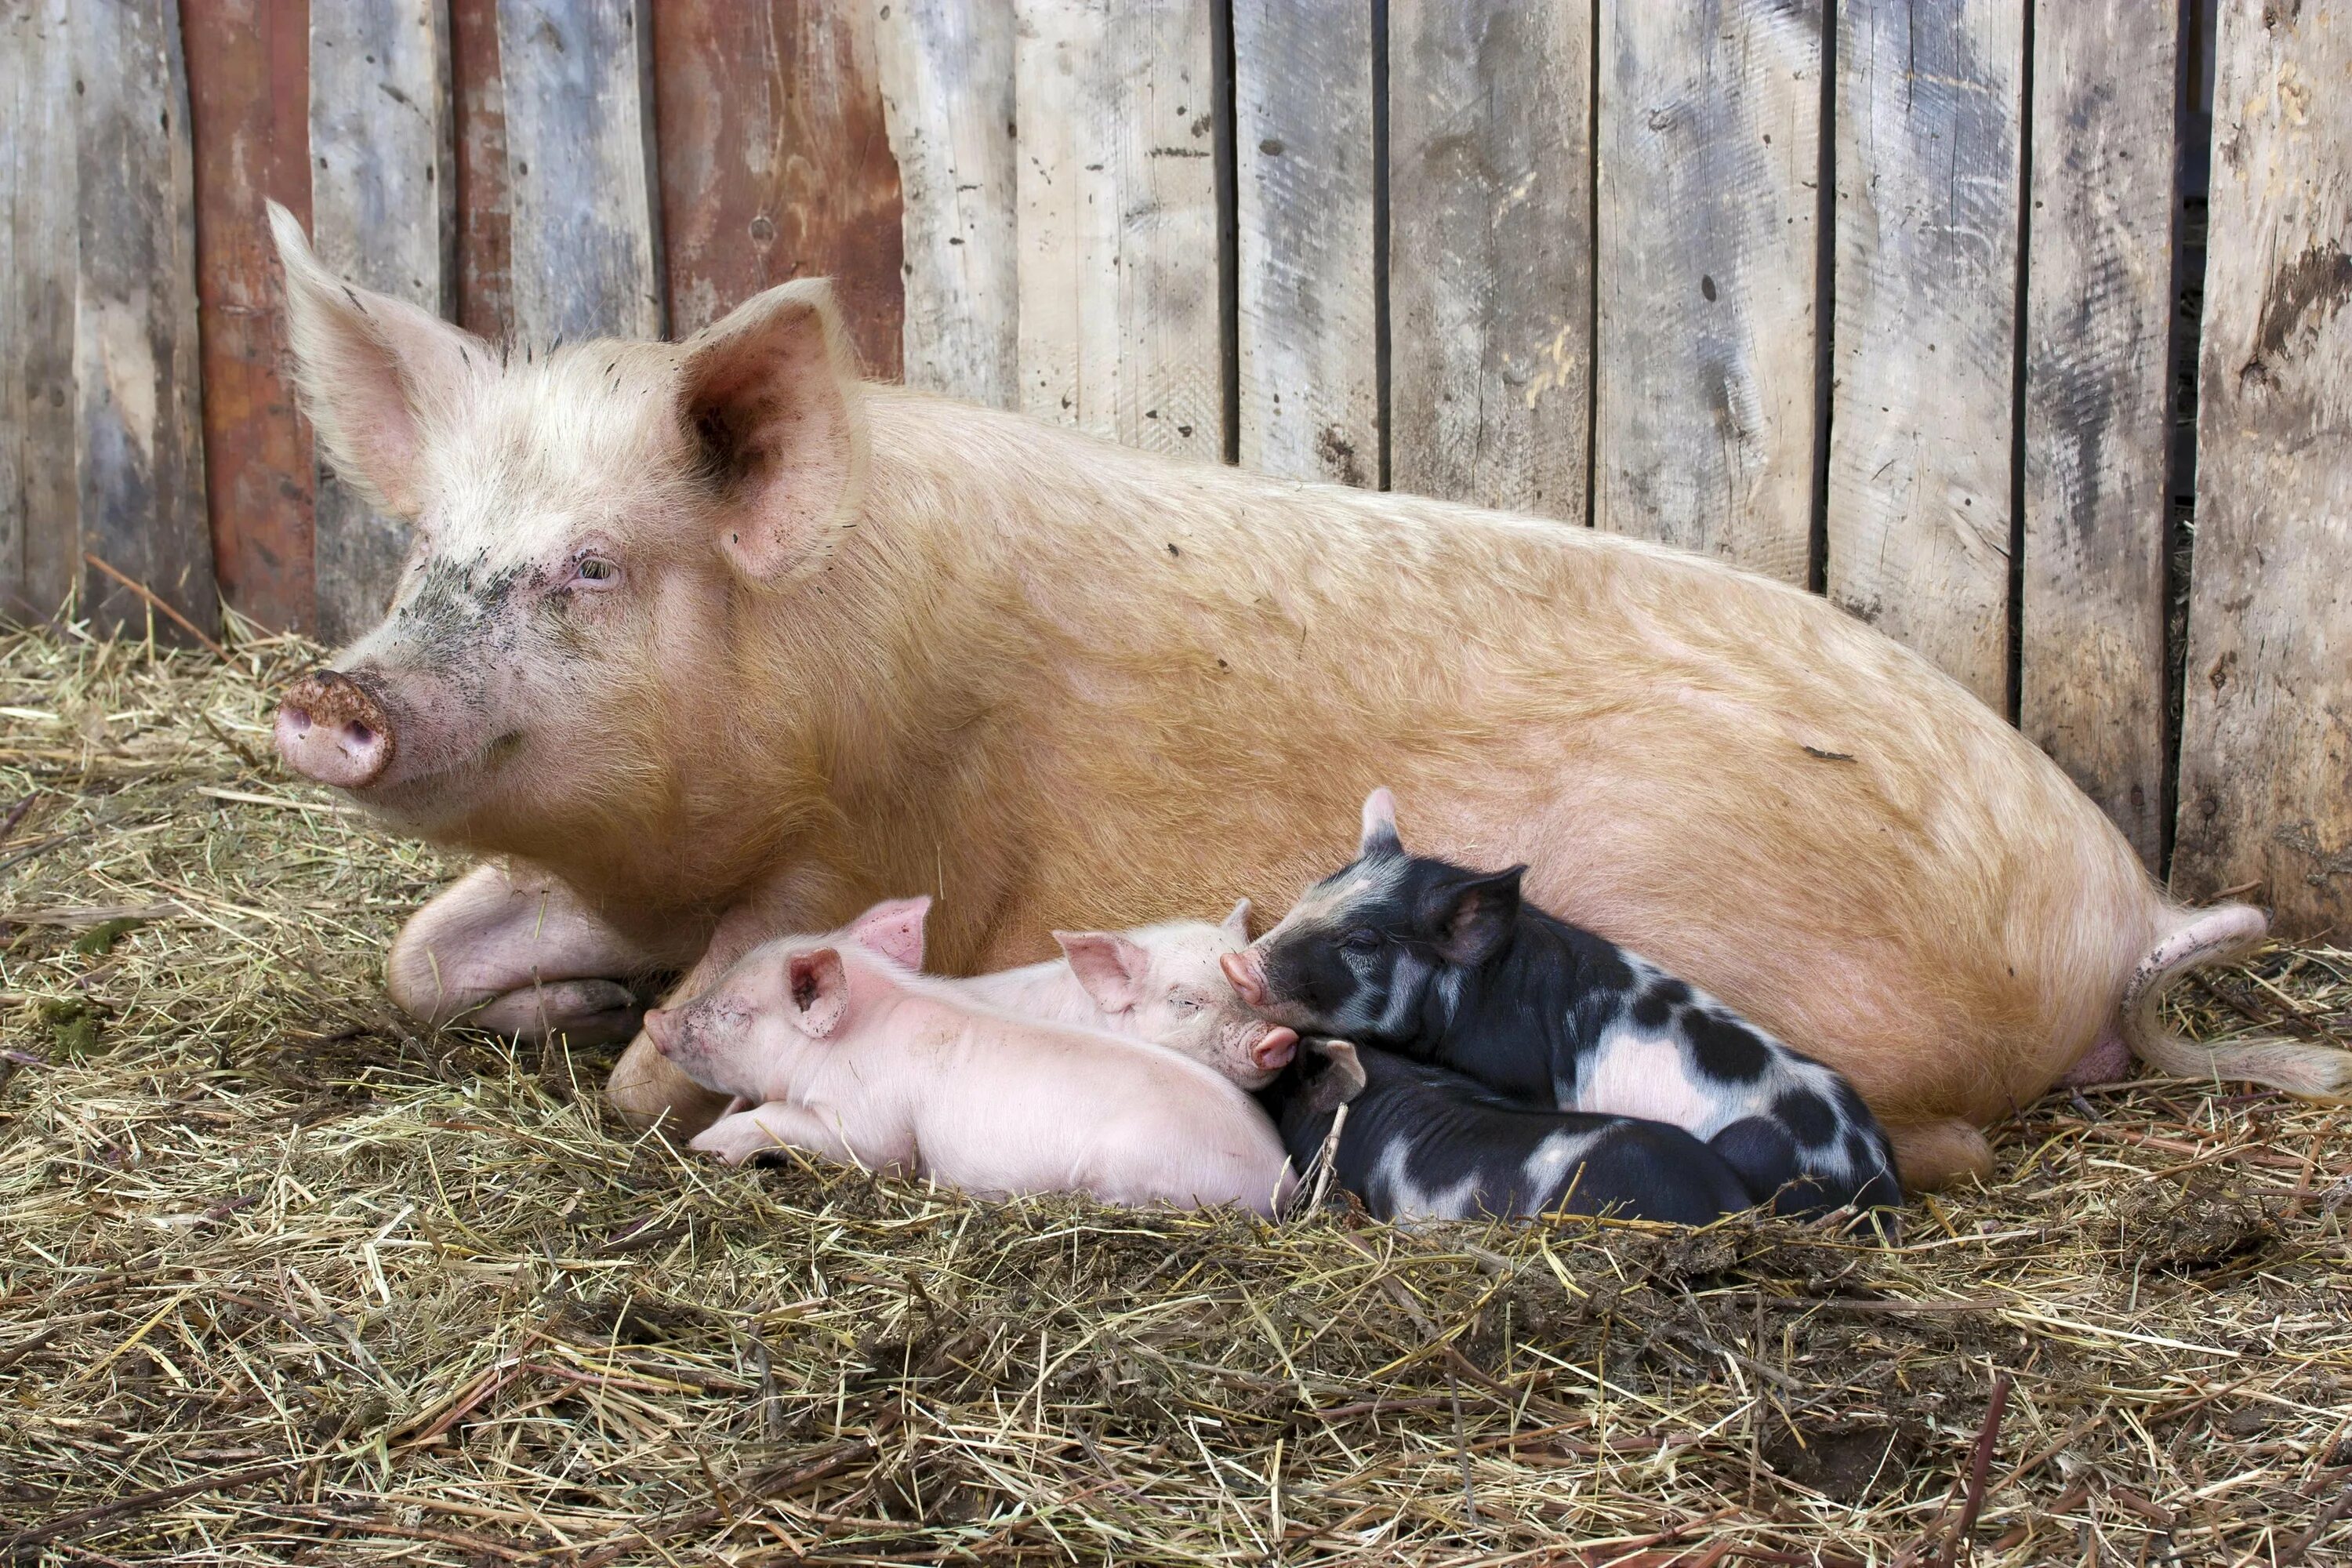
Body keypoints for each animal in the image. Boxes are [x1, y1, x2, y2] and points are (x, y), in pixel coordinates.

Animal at [267, 208, 2343, 1189]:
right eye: (422, 544)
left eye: (594, 567)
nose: (328, 696)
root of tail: (2120, 925)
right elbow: (415, 955)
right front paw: (541, 1000)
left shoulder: (872, 846)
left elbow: (663, 1065)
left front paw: (620, 1050)